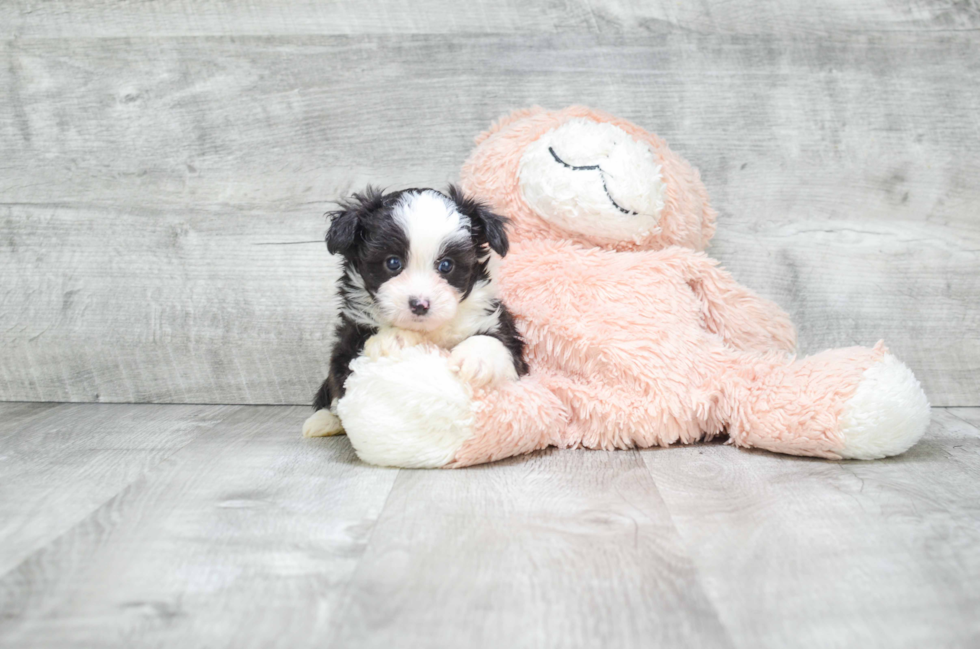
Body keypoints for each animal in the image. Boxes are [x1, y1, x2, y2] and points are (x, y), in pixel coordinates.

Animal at [302, 185, 528, 438]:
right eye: (393, 263)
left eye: (446, 265)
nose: (420, 304)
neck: (430, 331)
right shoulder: (348, 339)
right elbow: (342, 377)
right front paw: (392, 338)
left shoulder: (498, 324)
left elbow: (498, 343)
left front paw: (477, 358)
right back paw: (322, 421)